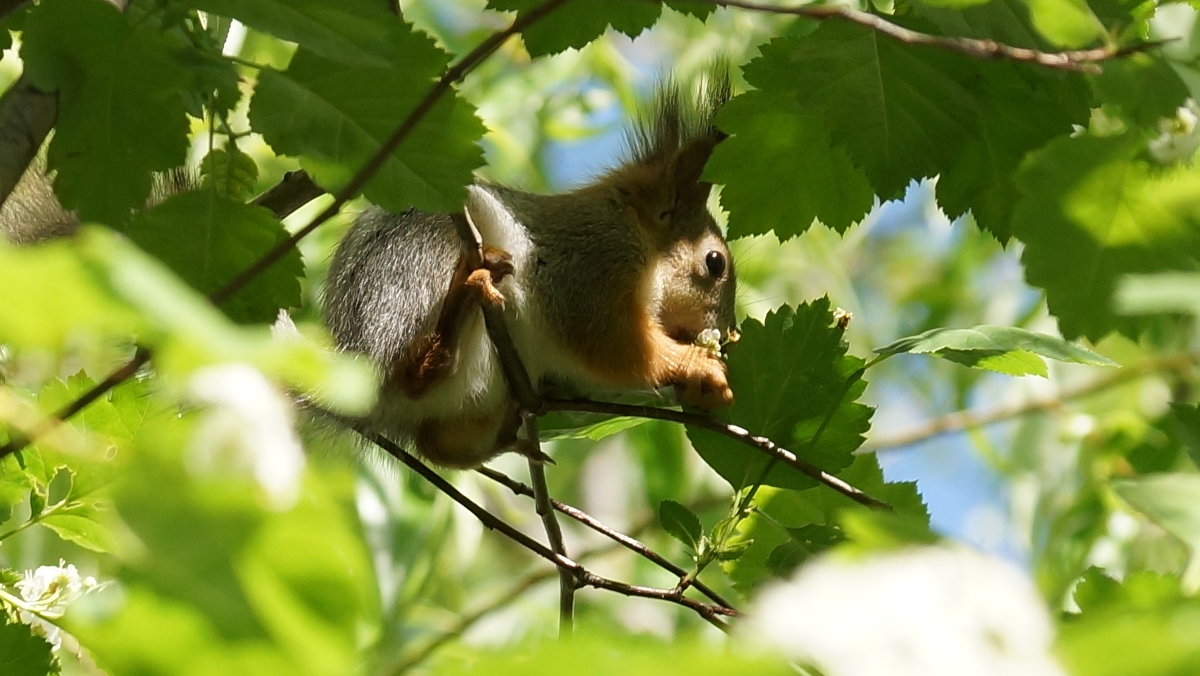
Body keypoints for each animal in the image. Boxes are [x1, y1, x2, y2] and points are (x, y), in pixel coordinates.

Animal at [326, 72, 739, 465]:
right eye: (714, 262)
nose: (727, 332)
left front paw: (703, 389)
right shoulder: (592, 267)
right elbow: (615, 347)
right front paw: (699, 365)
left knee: (441, 446)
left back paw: (509, 432)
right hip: (418, 271)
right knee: (415, 376)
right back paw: (463, 302)